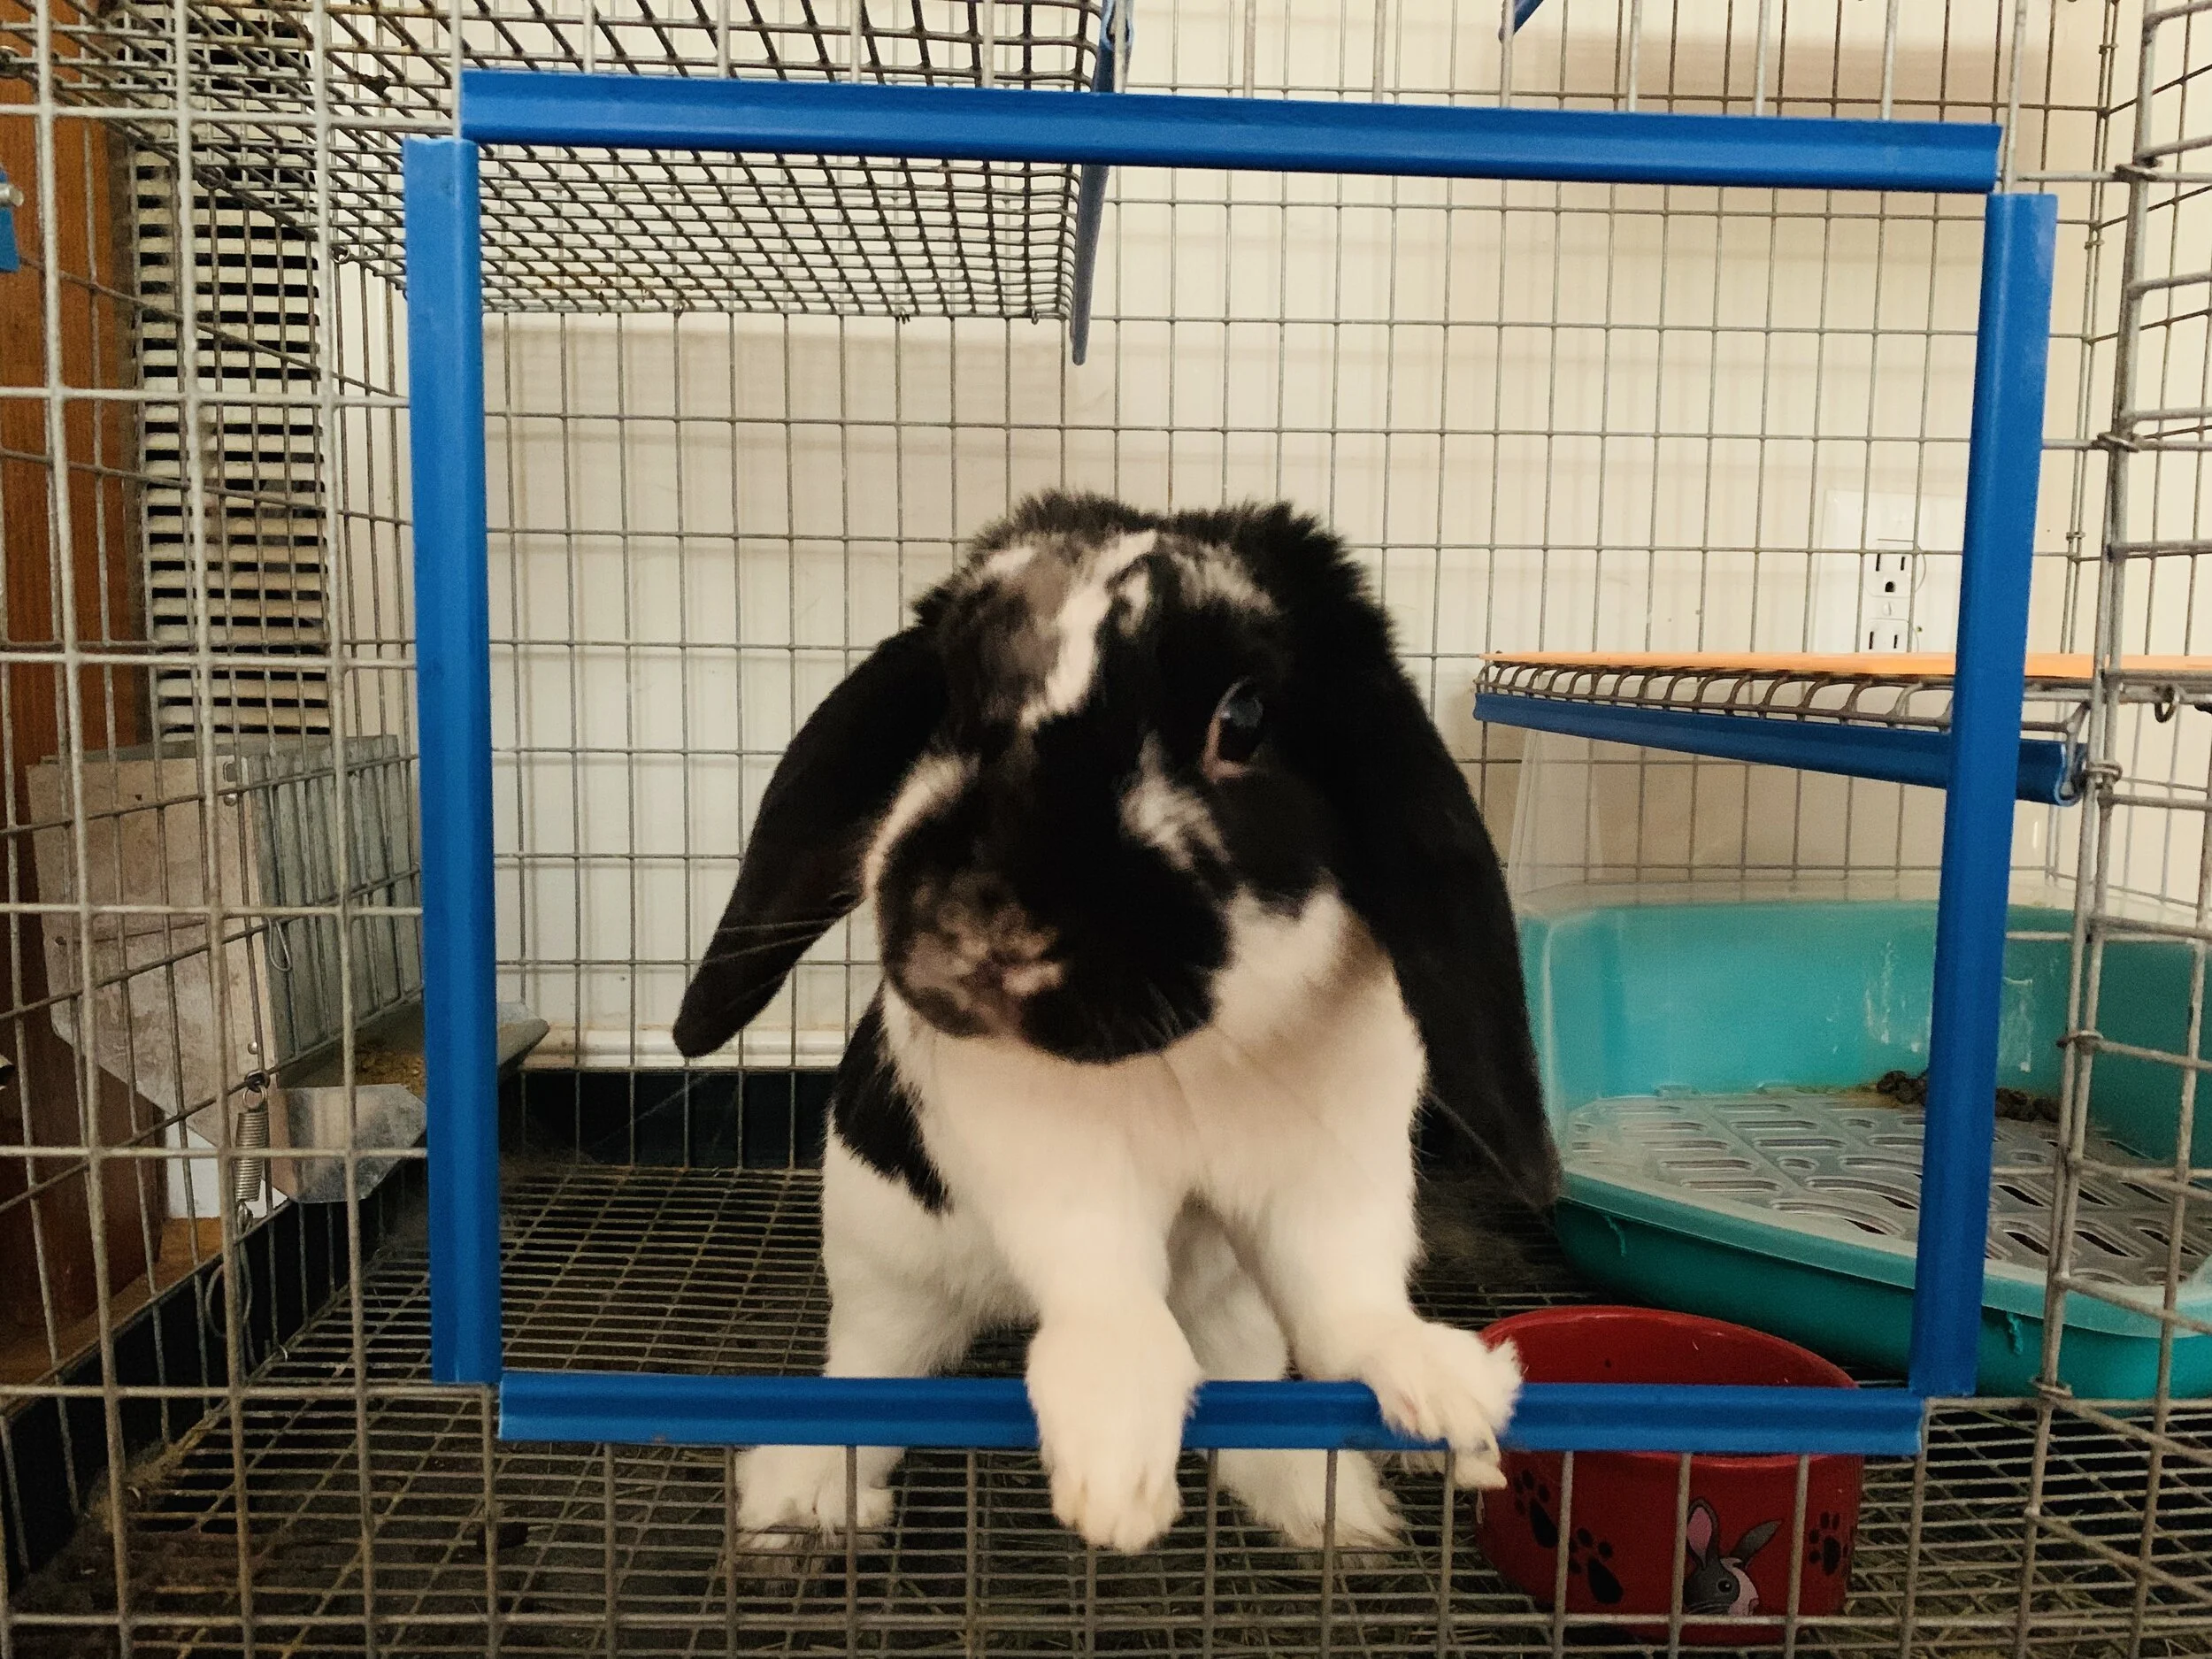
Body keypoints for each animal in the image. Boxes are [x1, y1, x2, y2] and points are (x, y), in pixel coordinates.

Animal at [673, 491, 1558, 1555]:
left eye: (1244, 719)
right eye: (949, 698)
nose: (985, 922)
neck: (1190, 1055)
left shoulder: (1336, 1166)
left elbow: (1347, 1297)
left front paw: (1453, 1403)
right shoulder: (1043, 1151)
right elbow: (1103, 1282)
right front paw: (1114, 1470)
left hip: (1233, 1306)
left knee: (1252, 1387)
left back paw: (1328, 1506)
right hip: (882, 1263)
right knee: (869, 1378)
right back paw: (801, 1499)